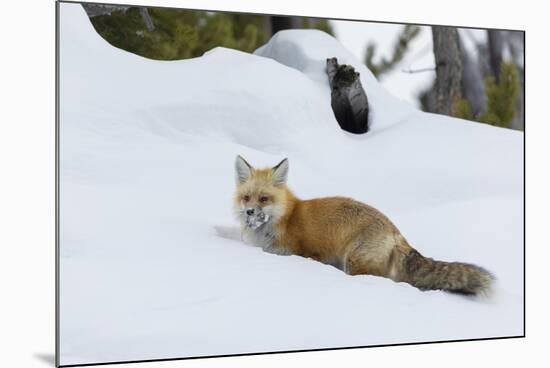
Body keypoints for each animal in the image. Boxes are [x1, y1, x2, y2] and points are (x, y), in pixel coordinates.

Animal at [233, 155, 496, 296]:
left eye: (264, 199)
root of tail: (395, 230)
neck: (283, 219)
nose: (249, 212)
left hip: (354, 263)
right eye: (247, 197)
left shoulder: (302, 253)